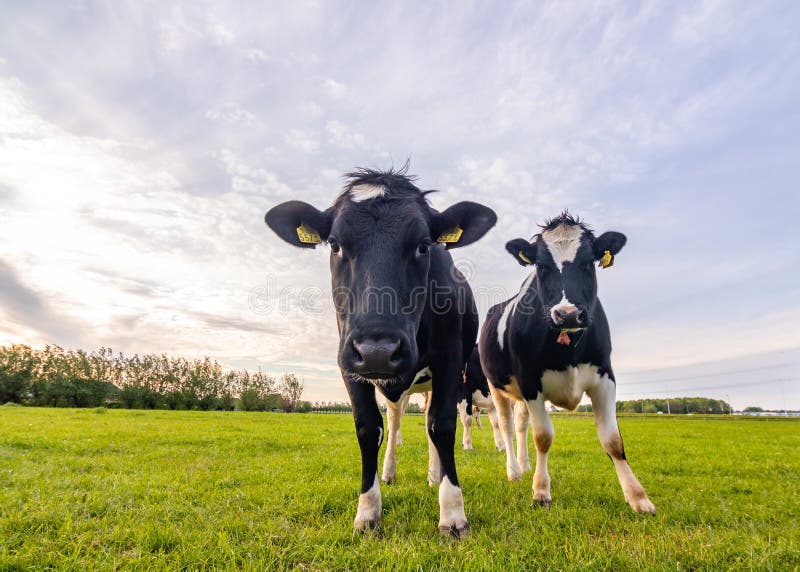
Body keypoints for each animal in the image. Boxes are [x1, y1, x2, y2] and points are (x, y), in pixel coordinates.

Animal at [266, 165, 496, 536]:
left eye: (423, 245)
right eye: (334, 244)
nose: (378, 350)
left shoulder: (450, 360)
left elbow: (442, 425)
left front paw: (452, 514)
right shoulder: (348, 361)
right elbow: (368, 427)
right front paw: (368, 510)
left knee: (429, 422)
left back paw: (434, 475)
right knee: (396, 420)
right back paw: (389, 471)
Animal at [476, 211, 656, 512]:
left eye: (588, 262)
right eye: (541, 265)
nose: (568, 314)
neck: (568, 346)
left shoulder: (605, 377)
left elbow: (613, 440)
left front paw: (638, 497)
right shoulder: (530, 381)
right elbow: (543, 437)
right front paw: (541, 491)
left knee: (521, 423)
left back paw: (525, 465)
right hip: (496, 386)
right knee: (506, 425)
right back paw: (514, 471)